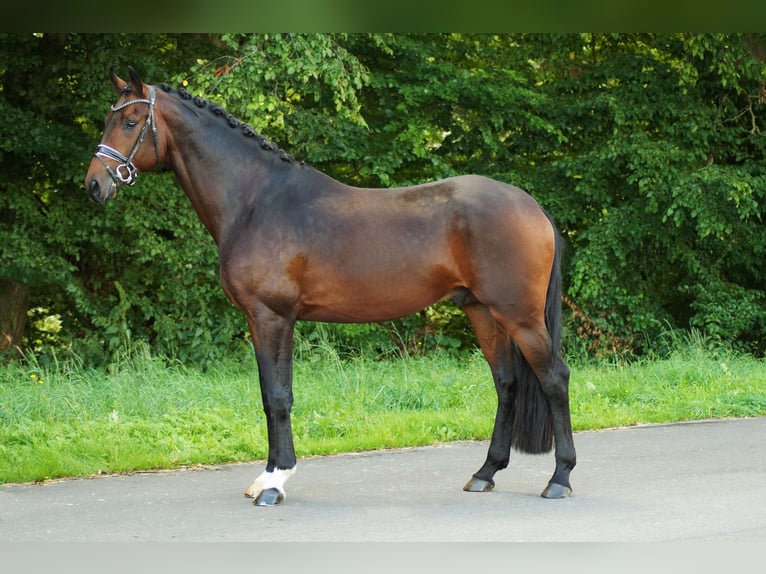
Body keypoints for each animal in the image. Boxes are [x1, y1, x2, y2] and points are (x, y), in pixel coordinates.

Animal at [84, 68, 576, 508]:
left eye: (130, 122)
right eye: (109, 119)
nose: (93, 185)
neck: (255, 201)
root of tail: (531, 206)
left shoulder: (272, 316)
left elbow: (278, 396)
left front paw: (275, 483)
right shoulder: (261, 319)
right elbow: (268, 394)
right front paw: (266, 475)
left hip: (520, 316)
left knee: (554, 377)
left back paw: (559, 479)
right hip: (482, 311)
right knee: (507, 383)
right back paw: (485, 473)